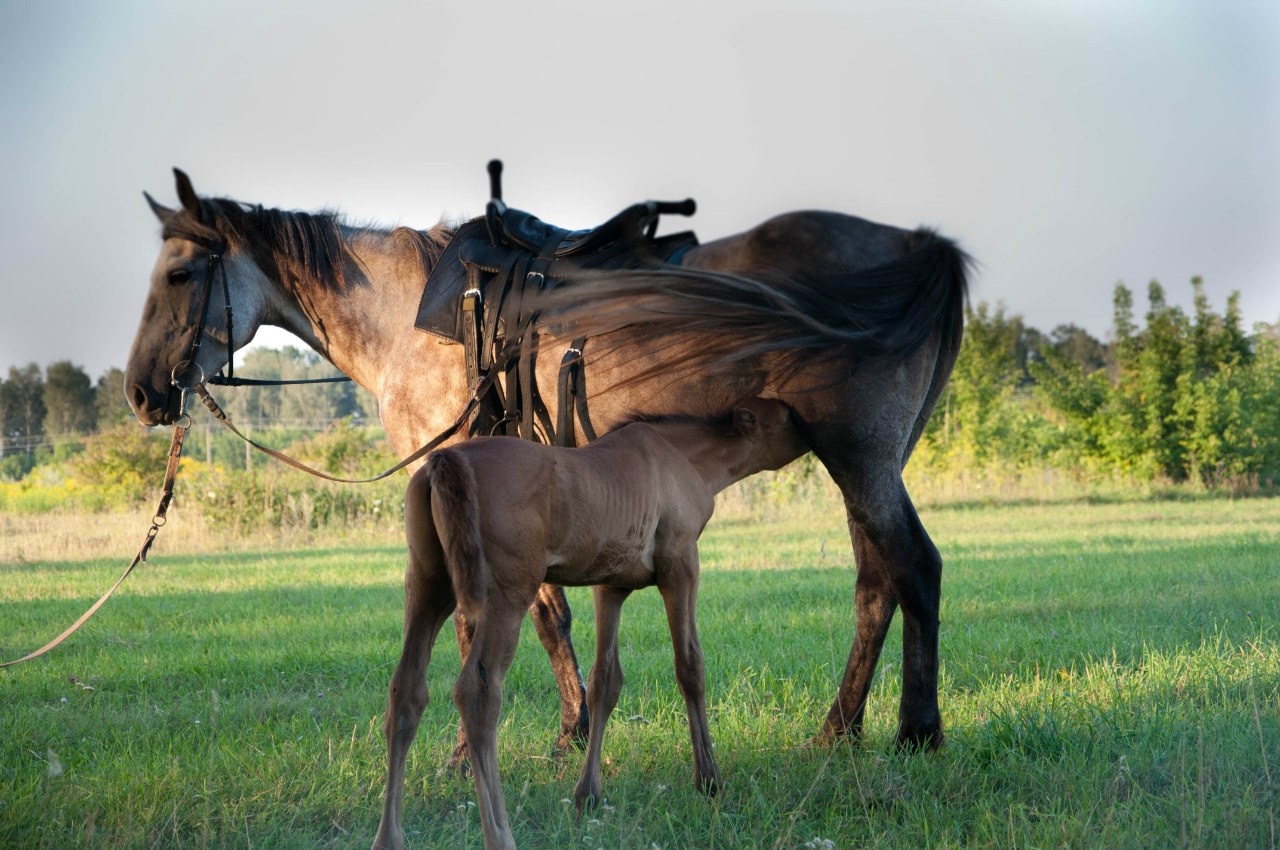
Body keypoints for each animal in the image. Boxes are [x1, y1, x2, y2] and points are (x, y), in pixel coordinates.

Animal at [127, 167, 967, 762]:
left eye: (178, 274)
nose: (141, 392)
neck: (405, 317)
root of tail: (919, 246)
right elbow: (548, 612)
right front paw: (573, 729)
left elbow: (481, 618)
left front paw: (466, 750)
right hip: (864, 465)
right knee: (876, 585)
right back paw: (839, 728)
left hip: (860, 459)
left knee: (916, 568)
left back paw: (916, 729)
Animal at [373, 399, 803, 850]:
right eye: (787, 416)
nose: (812, 432)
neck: (679, 455)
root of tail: (448, 458)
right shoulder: (681, 566)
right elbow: (690, 668)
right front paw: (709, 780)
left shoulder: (611, 586)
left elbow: (604, 682)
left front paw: (588, 795)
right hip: (506, 596)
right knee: (478, 694)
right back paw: (500, 834)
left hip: (429, 587)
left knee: (407, 691)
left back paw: (389, 837)